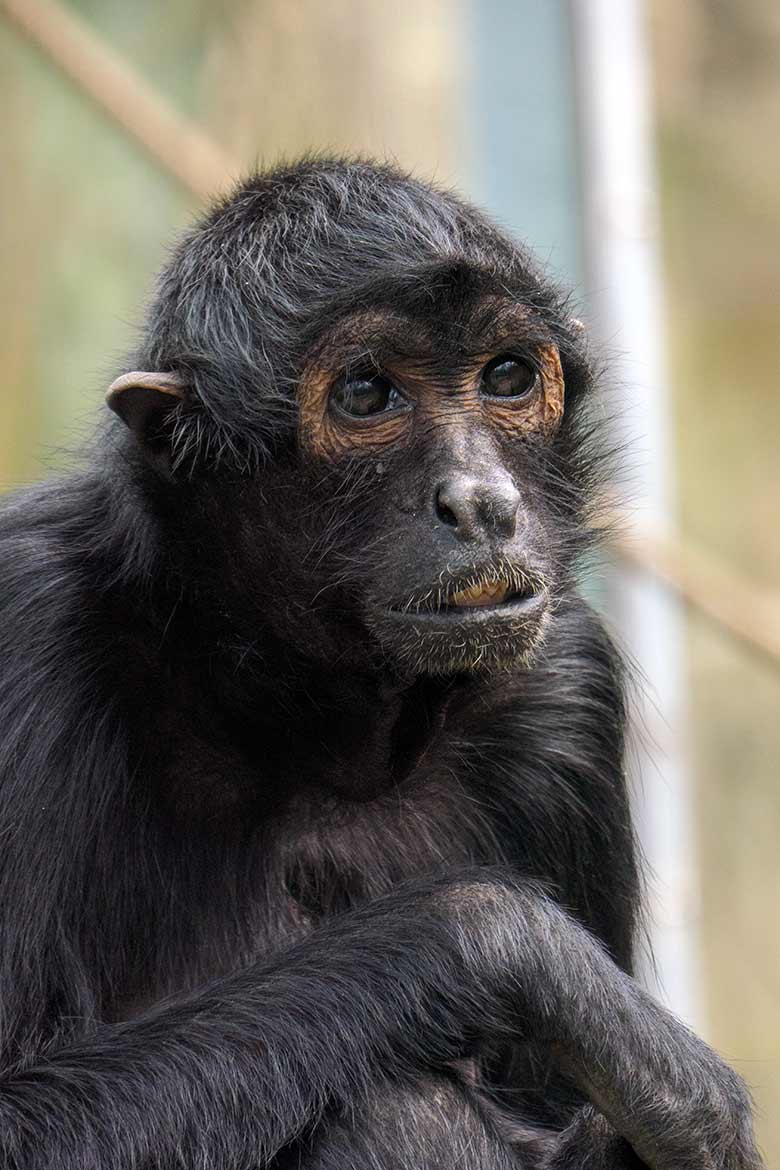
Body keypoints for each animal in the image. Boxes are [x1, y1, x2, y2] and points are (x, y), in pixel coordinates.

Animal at [0, 157, 757, 1170]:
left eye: (507, 376)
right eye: (366, 395)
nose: (482, 500)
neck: (303, 729)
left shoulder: (565, 690)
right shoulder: (27, 626)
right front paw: (513, 947)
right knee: (392, 1103)